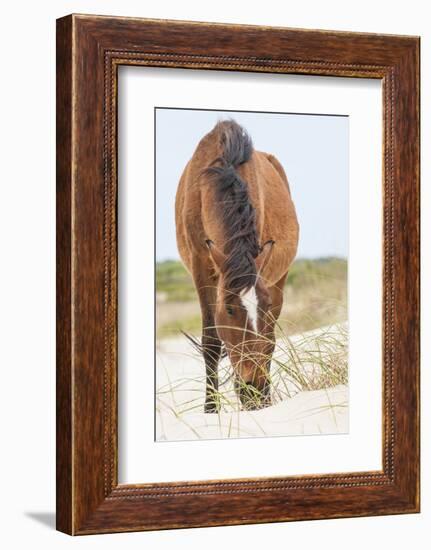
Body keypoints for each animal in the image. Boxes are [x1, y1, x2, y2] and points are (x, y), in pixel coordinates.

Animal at [174, 121, 298, 414]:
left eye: (263, 306)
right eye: (229, 310)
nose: (253, 387)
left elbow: (265, 341)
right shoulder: (201, 266)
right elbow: (211, 342)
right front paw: (210, 410)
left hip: (279, 280)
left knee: (270, 340)